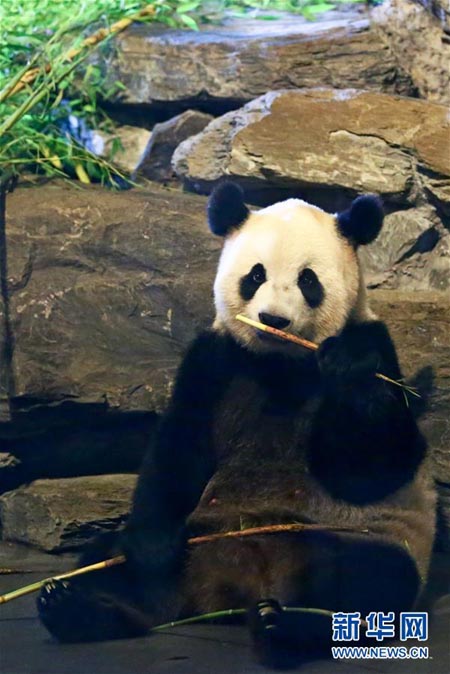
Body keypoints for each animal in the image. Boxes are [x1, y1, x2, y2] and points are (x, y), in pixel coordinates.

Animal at [38, 182, 436, 666]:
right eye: (255, 275)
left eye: (308, 280)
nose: (273, 319)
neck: (279, 362)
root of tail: (233, 588)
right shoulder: (214, 360)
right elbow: (177, 449)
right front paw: (152, 550)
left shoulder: (376, 344)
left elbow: (376, 465)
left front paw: (348, 368)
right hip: (195, 540)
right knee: (110, 565)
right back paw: (78, 607)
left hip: (350, 537)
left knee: (368, 581)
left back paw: (286, 627)